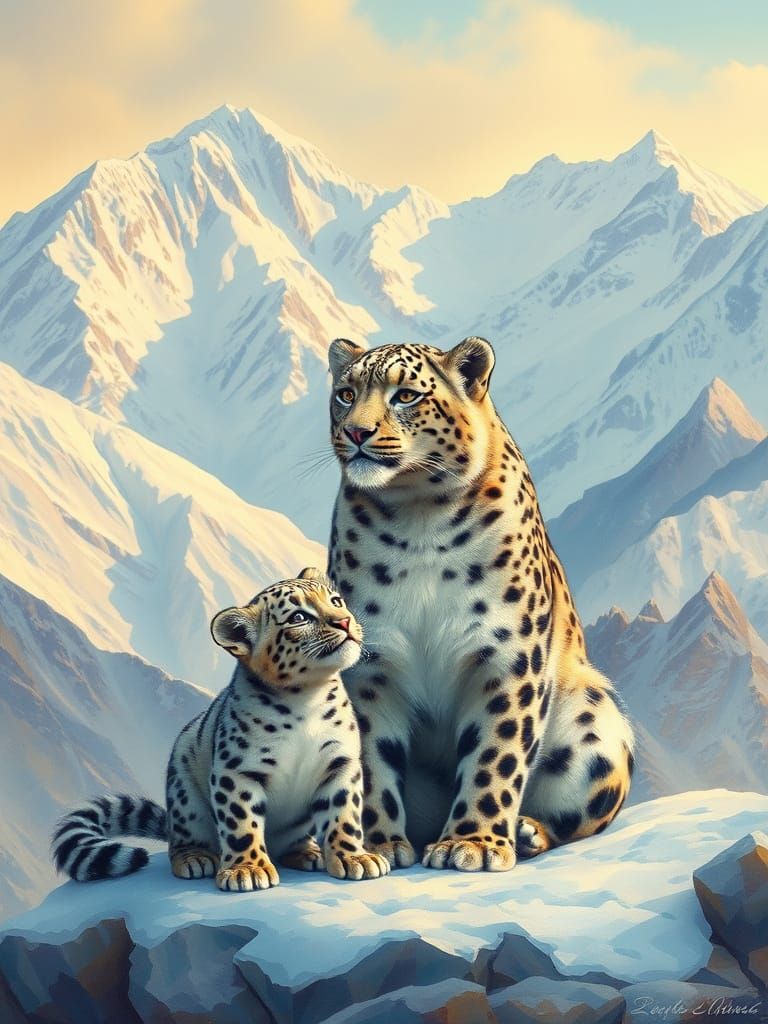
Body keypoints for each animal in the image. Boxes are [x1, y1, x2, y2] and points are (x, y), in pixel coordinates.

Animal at [51, 568, 389, 891]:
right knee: (184, 840)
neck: (307, 698)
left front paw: (355, 858)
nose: (345, 621)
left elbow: (343, 814)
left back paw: (308, 852)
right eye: (298, 617)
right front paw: (247, 870)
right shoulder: (238, 770)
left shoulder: (340, 764)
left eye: (335, 601)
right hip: (184, 797)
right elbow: (242, 823)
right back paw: (195, 858)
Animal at [326, 335, 635, 873]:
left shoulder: (507, 658)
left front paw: (472, 844)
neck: (417, 518)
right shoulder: (369, 668)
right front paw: (374, 846)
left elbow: (496, 753)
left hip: (593, 718)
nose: (356, 431)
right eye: (345, 394)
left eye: (405, 395)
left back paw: (528, 832)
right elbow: (368, 760)